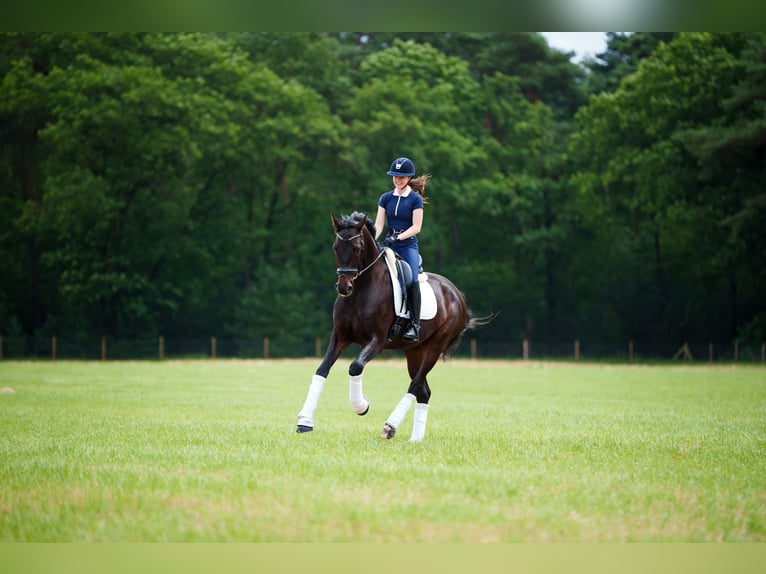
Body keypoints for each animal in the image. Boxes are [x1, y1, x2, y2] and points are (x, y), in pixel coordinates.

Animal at [296, 214, 488, 444]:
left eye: (358, 248)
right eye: (335, 247)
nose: (344, 287)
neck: (361, 289)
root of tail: (456, 293)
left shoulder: (377, 341)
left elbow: (355, 367)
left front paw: (362, 406)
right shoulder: (340, 337)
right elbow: (322, 369)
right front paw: (305, 421)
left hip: (435, 346)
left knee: (415, 385)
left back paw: (390, 426)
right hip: (415, 350)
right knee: (423, 391)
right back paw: (415, 439)